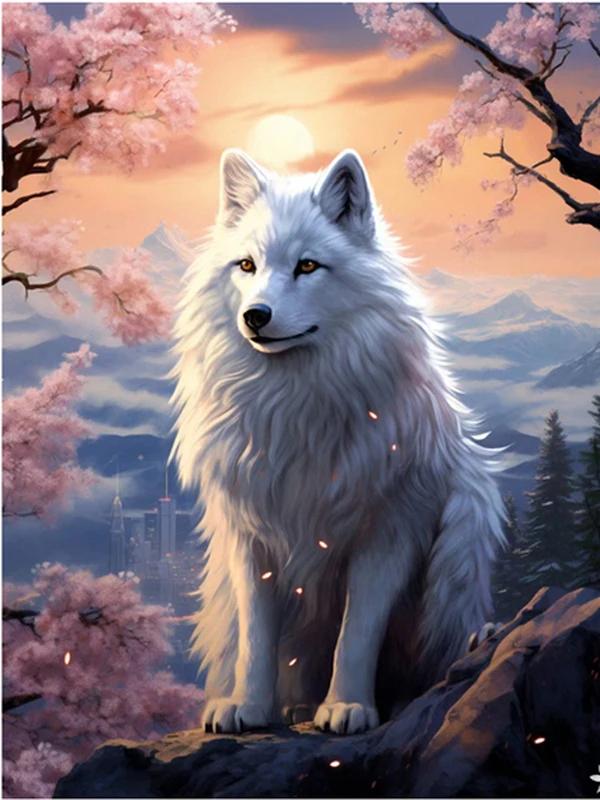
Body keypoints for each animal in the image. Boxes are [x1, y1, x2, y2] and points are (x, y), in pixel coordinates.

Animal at [171, 148, 505, 736]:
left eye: (307, 266)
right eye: (246, 266)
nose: (255, 316)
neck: (296, 407)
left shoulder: (389, 532)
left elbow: (357, 633)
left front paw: (348, 707)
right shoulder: (251, 533)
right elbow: (256, 637)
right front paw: (247, 708)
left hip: (465, 523)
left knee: (438, 650)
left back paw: (471, 645)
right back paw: (294, 707)